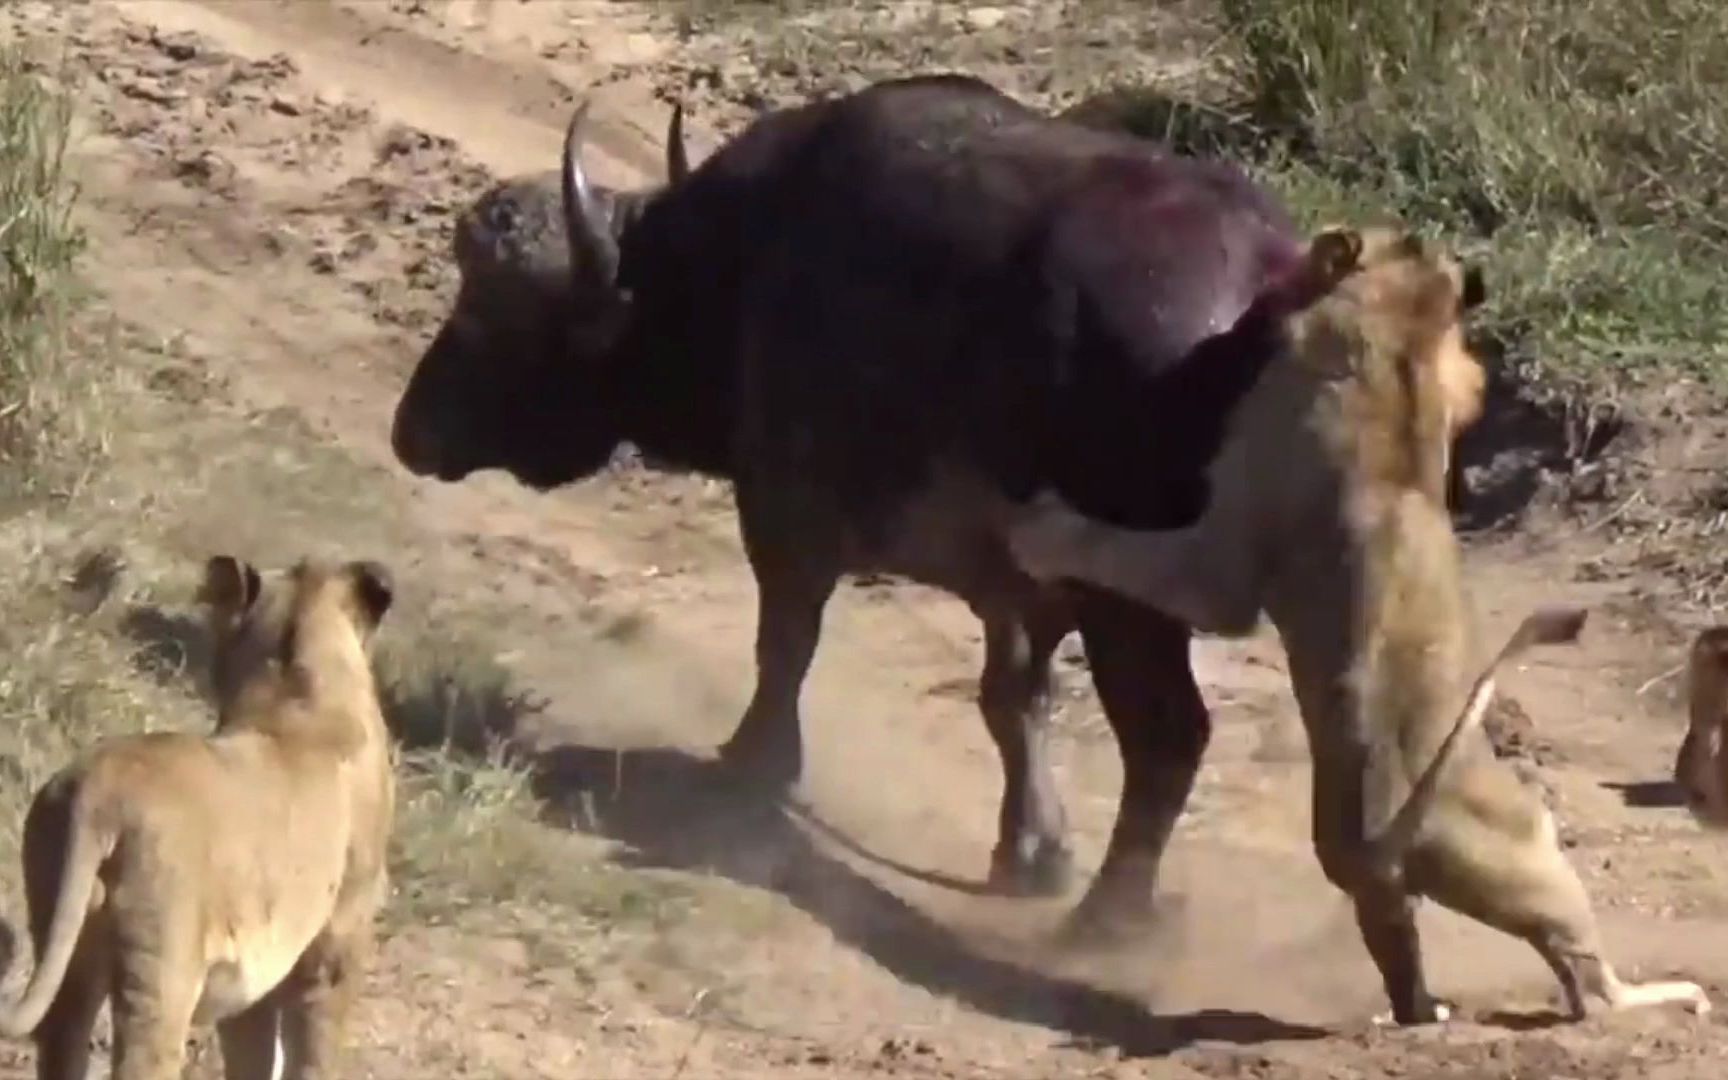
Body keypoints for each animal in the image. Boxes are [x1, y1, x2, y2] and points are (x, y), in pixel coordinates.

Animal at [395, 76, 1334, 933]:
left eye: (491, 311)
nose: (411, 432)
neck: (740, 262)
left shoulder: (788, 515)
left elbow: (786, 645)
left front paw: (754, 763)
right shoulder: (1014, 591)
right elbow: (1012, 701)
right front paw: (1031, 848)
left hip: (1132, 611)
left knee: (1169, 740)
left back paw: (1112, 917)